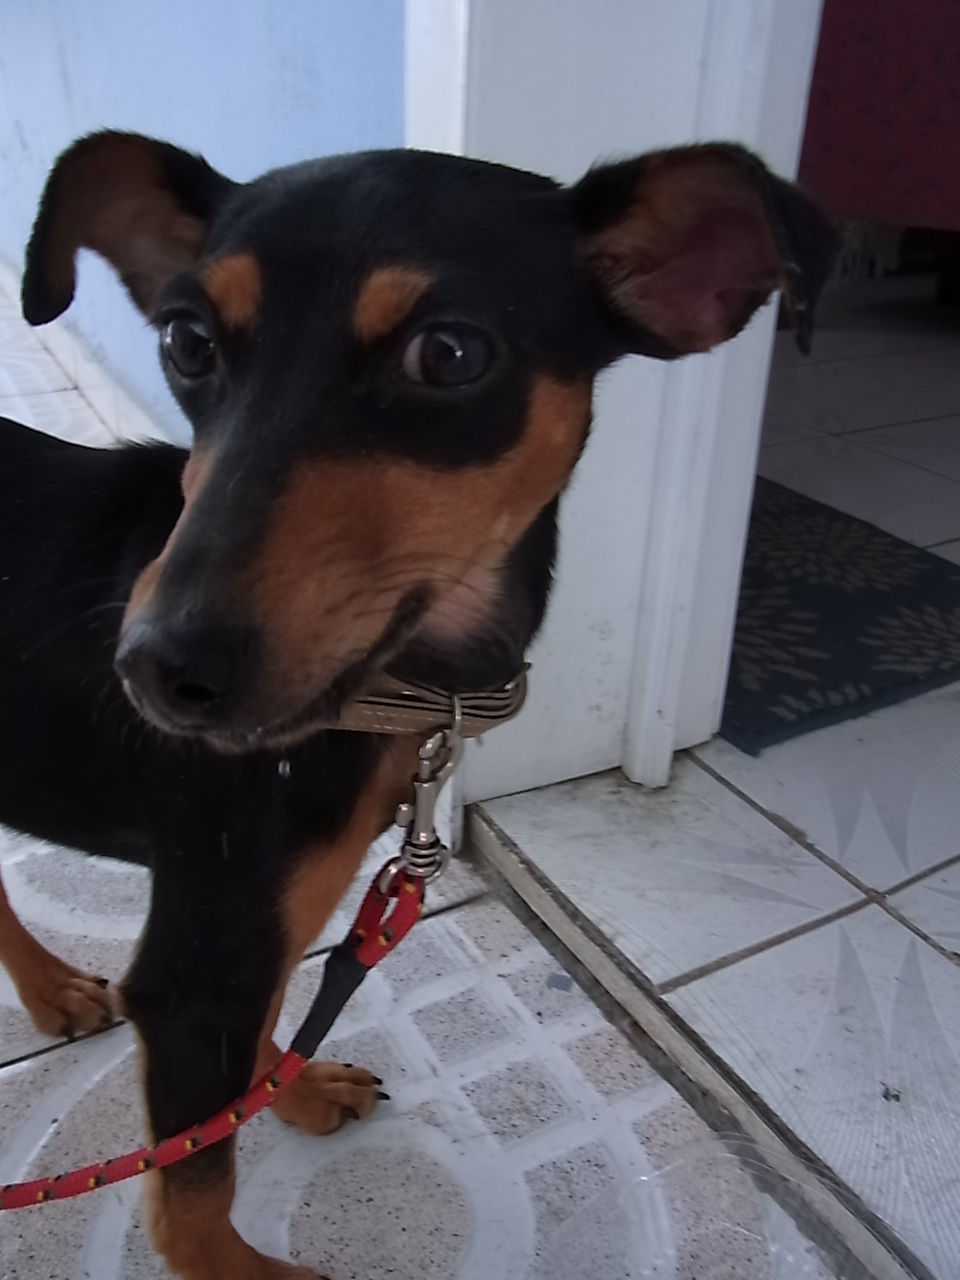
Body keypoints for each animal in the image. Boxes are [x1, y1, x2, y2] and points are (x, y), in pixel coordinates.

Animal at [0, 131, 835, 1278]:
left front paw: (295, 1085)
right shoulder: (193, 968)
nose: (159, 669)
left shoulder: (257, 926)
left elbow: (259, 1041)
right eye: (186, 339)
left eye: (448, 355)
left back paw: (48, 988)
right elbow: (192, 1193)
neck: (390, 688)